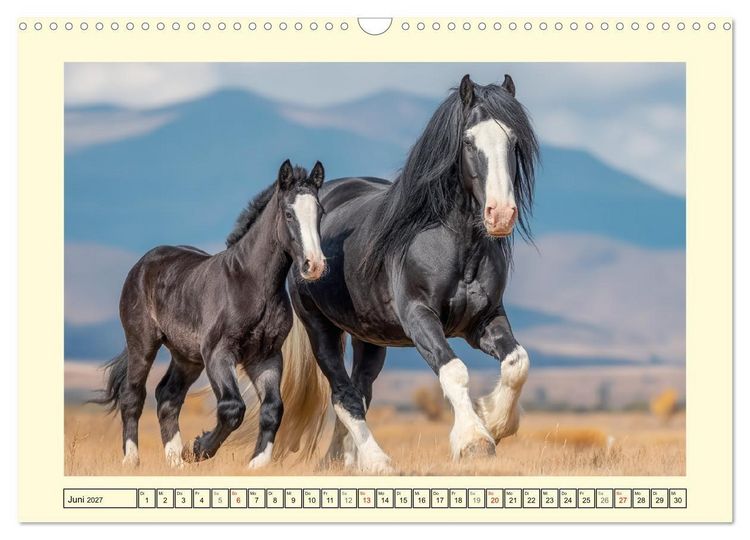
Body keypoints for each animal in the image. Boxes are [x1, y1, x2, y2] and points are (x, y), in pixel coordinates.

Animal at [93, 160, 327, 469]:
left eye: (320, 213)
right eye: (289, 214)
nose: (314, 265)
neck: (253, 284)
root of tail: (143, 264)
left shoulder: (266, 356)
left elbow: (273, 408)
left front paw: (256, 464)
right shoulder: (218, 353)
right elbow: (232, 407)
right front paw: (198, 449)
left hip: (187, 357)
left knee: (168, 397)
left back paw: (175, 462)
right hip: (142, 343)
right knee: (133, 395)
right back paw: (132, 460)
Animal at [251, 74, 539, 473]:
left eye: (512, 142)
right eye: (468, 141)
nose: (500, 215)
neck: (451, 243)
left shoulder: (484, 319)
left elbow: (517, 363)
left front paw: (495, 421)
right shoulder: (420, 317)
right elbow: (454, 370)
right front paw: (473, 440)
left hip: (370, 339)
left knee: (360, 392)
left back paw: (342, 461)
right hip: (321, 328)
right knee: (344, 395)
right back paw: (374, 461)